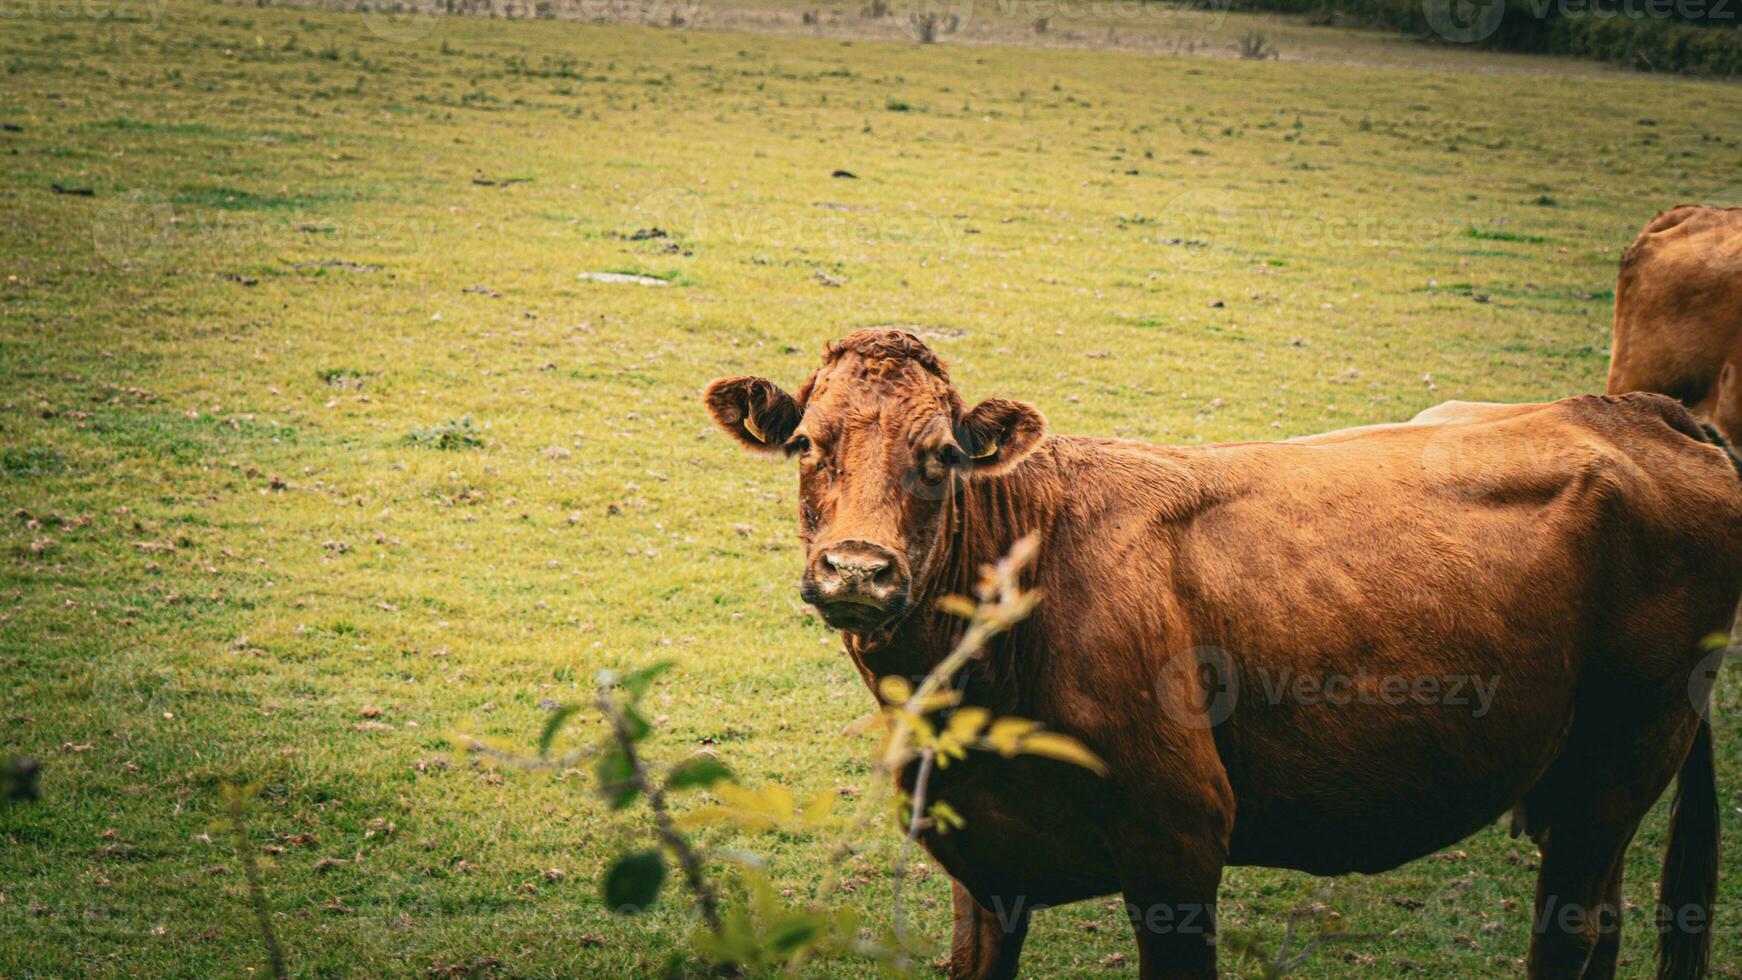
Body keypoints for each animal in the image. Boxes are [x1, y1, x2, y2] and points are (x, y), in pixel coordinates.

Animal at [703, 332, 1728, 980]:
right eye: (806, 441)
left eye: (943, 454)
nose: (857, 569)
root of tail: (1637, 411)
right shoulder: (982, 870)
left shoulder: (1179, 848)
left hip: (1622, 763)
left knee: (1570, 932)